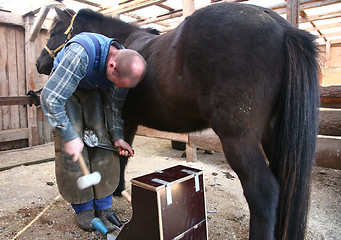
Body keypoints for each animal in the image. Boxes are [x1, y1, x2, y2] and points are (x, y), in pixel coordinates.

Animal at [36, 2, 318, 239]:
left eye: (53, 32)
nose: (40, 63)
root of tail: (283, 28)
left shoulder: (121, 117)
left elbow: (118, 157)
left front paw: (116, 190)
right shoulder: (129, 121)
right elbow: (123, 153)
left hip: (238, 138)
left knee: (263, 192)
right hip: (274, 136)